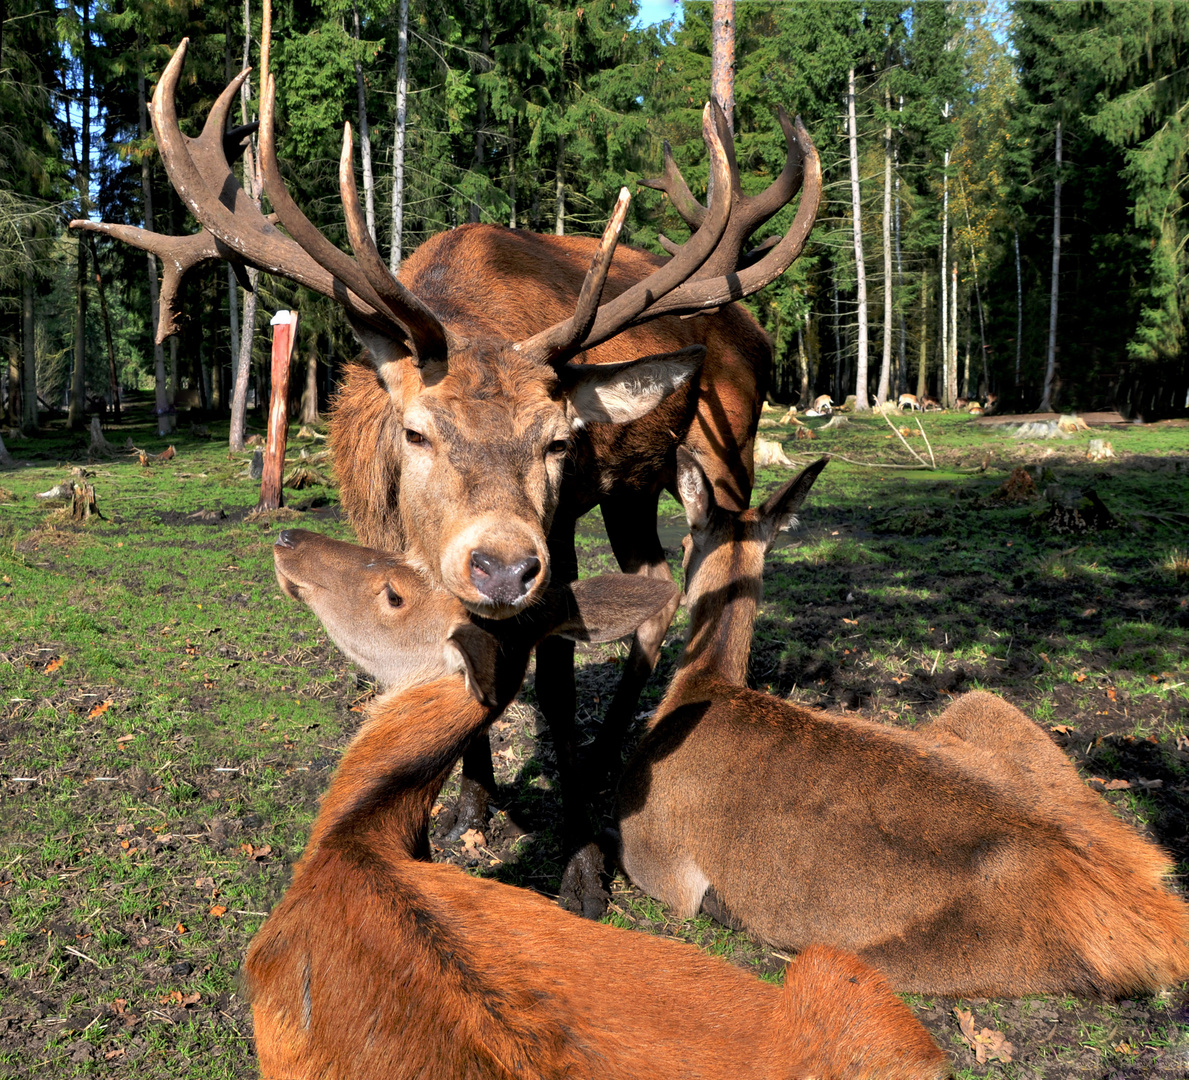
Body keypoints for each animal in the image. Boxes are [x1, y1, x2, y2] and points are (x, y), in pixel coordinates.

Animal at [71, 25, 818, 913]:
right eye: (416, 432)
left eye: (559, 439)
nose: (501, 566)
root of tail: (749, 325)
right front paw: (462, 807)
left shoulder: (557, 533)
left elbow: (553, 679)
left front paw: (580, 866)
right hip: (637, 484)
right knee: (654, 576)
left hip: (725, 446)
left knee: (723, 555)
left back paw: (613, 755)